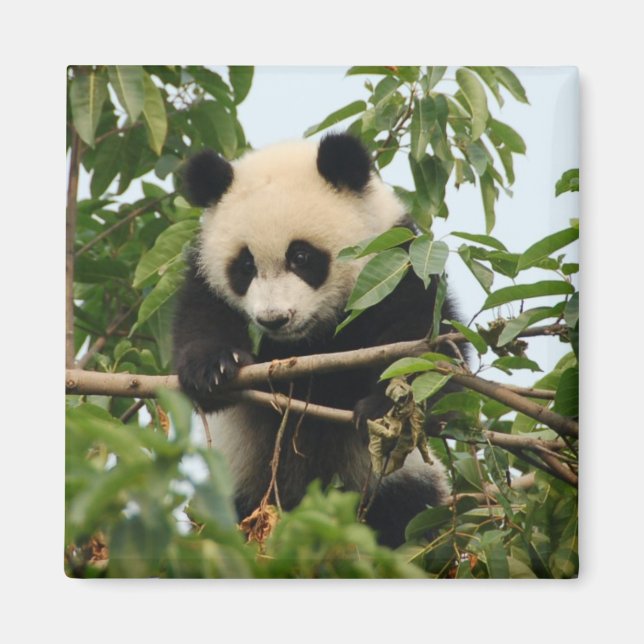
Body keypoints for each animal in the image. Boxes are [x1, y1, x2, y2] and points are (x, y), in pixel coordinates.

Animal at [173, 133, 459, 548]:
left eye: (301, 256)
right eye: (245, 266)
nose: (274, 319)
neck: (307, 342)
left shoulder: (397, 261)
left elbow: (426, 347)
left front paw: (384, 409)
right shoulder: (205, 278)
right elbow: (200, 321)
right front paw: (213, 370)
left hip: (397, 489)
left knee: (408, 515)